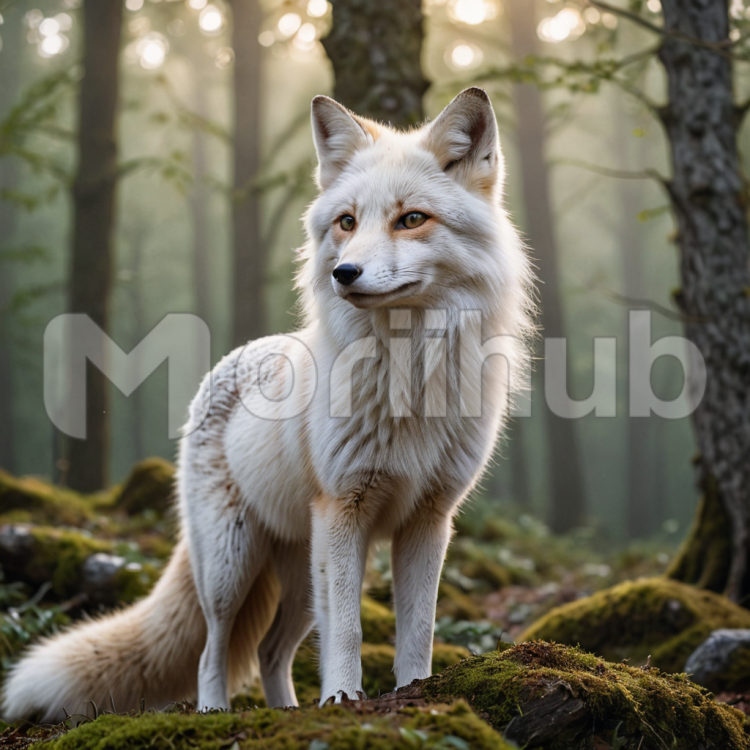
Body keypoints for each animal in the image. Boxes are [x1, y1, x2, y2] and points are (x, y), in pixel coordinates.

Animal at [2, 87, 533, 722]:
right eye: (347, 221)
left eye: (411, 219)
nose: (344, 273)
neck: (408, 381)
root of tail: (230, 361)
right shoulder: (344, 509)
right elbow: (348, 631)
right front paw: (342, 698)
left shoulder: (429, 519)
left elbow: (418, 630)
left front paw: (415, 694)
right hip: (234, 566)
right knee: (214, 652)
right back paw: (217, 713)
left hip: (301, 576)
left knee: (268, 653)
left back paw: (287, 711)